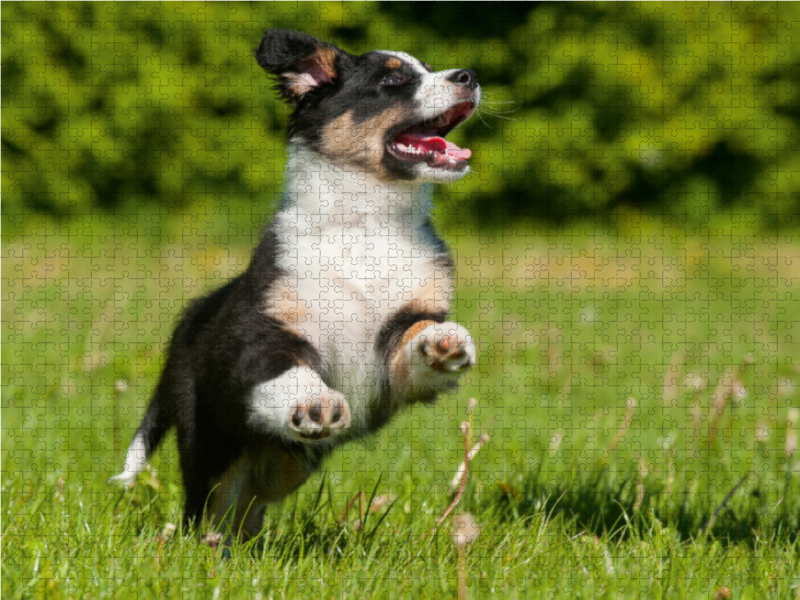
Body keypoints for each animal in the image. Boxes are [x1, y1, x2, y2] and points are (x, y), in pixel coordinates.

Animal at [109, 28, 478, 540]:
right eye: (393, 81)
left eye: (427, 68)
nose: (470, 76)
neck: (365, 223)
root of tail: (184, 326)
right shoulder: (262, 328)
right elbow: (286, 368)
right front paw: (315, 402)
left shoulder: (394, 347)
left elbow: (415, 337)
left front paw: (445, 341)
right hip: (208, 436)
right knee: (209, 502)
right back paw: (205, 546)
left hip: (288, 463)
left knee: (250, 500)